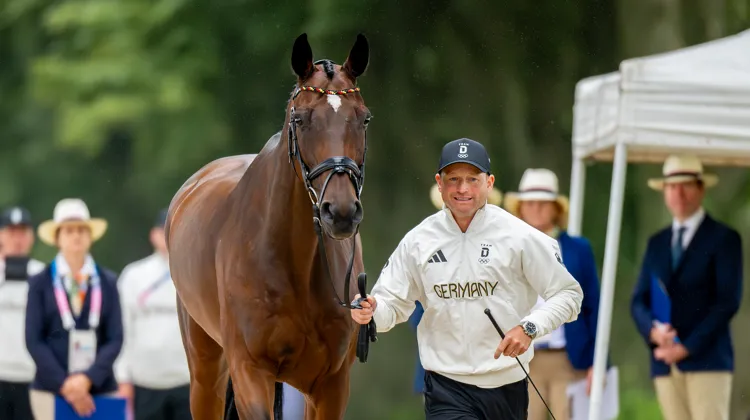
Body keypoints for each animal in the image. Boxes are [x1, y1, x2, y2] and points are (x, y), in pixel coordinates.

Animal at [164, 33, 376, 420]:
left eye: (363, 119)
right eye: (301, 119)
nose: (340, 212)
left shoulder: (331, 383)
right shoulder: (249, 370)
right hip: (205, 367)